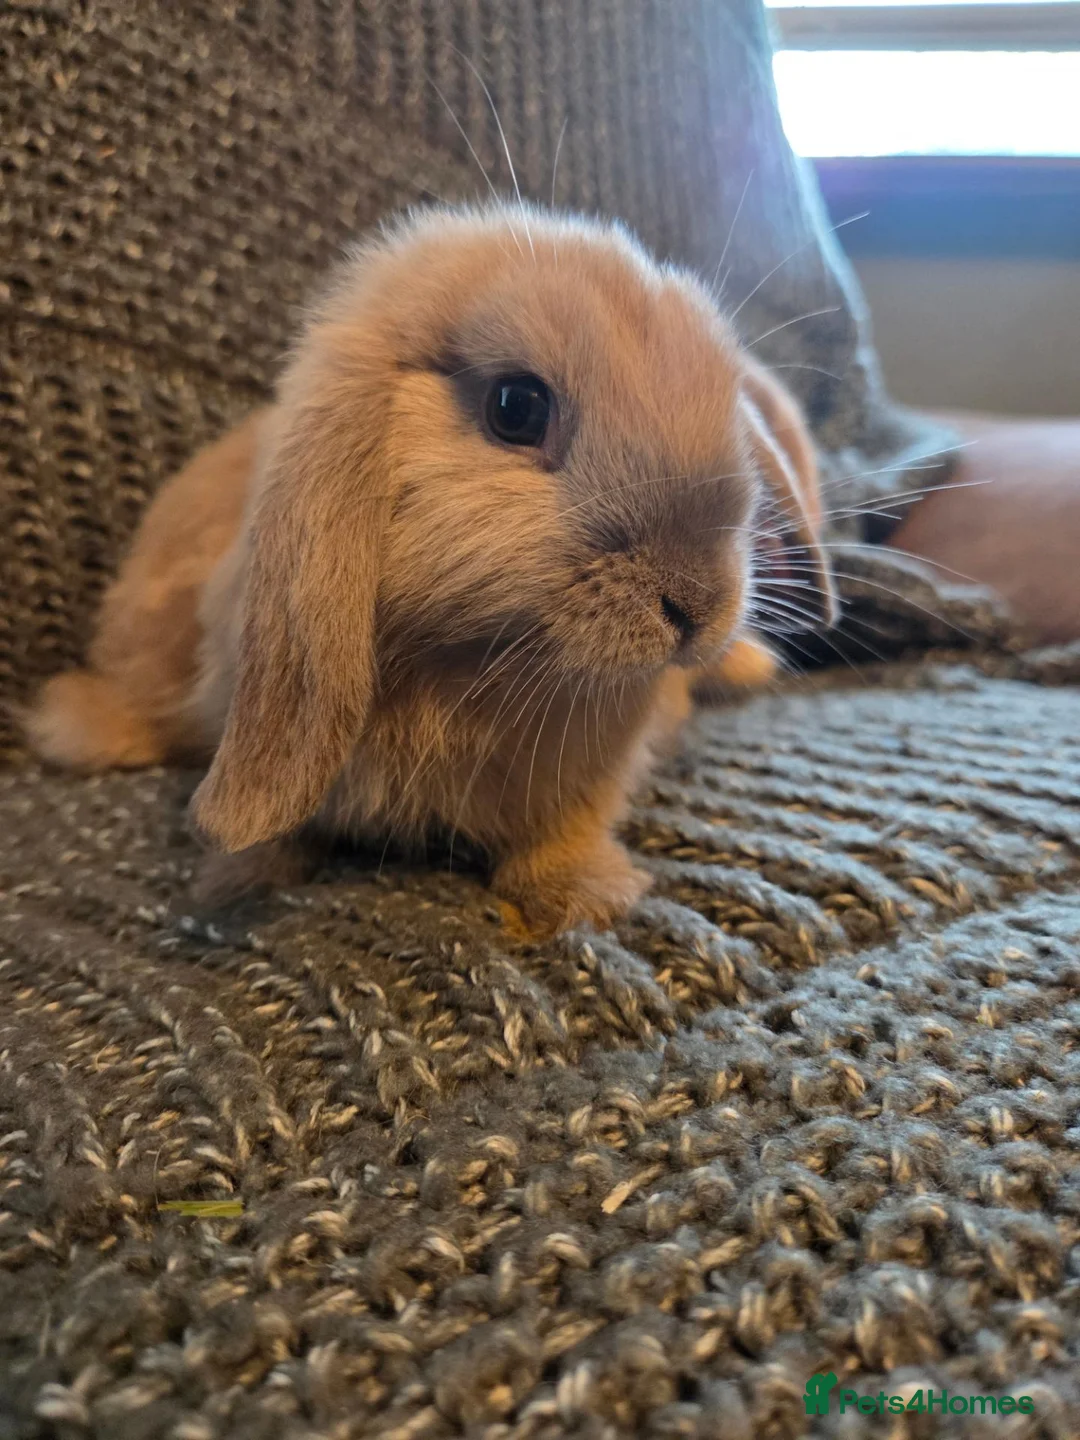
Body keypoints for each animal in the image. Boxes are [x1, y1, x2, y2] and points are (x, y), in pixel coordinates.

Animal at [26, 202, 835, 938]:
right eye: (516, 407)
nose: (696, 606)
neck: (470, 671)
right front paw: (232, 879)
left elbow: (567, 829)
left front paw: (581, 897)